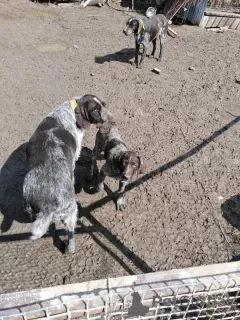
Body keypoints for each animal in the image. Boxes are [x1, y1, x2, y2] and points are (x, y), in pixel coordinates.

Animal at [22, 94, 109, 252]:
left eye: (103, 105)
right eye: (95, 110)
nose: (108, 118)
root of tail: (48, 206)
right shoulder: (75, 157)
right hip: (71, 212)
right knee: (71, 234)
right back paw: (70, 248)